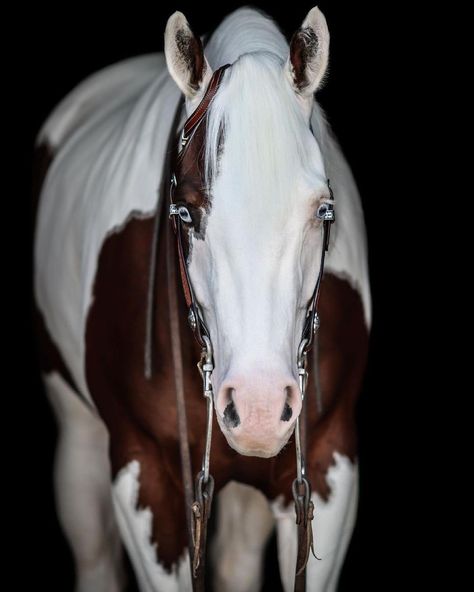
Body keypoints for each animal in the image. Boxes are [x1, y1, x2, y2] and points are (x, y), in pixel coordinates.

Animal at [32, 5, 370, 592]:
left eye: (323, 210)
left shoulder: (331, 465)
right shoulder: (141, 473)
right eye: (186, 213)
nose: (259, 409)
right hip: (77, 435)